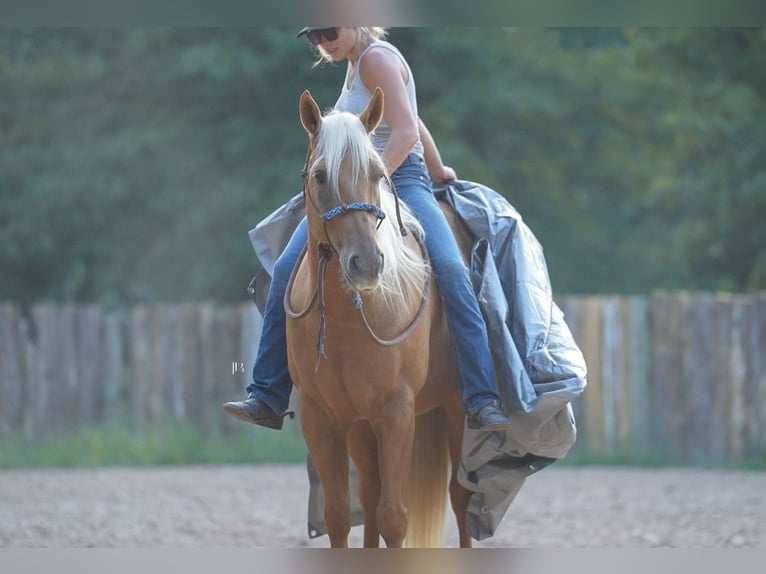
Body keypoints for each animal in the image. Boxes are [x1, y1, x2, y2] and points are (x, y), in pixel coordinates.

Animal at [285, 88, 474, 548]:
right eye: (320, 176)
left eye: (376, 173)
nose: (367, 264)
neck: (346, 320)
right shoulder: (325, 416)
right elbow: (339, 515)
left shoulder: (396, 412)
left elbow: (394, 517)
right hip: (361, 425)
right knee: (369, 495)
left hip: (457, 405)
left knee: (460, 496)